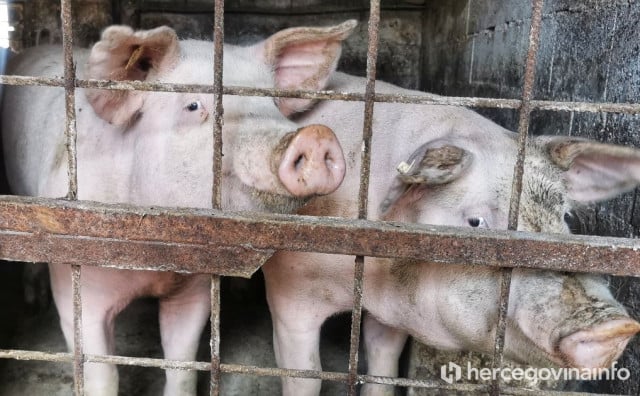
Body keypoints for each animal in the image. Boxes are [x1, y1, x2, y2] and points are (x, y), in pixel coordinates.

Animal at [1, 22, 356, 396]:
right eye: (193, 105)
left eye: (273, 103)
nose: (315, 135)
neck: (155, 265)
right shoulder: (77, 275)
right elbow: (100, 371)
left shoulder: (193, 288)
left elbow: (182, 363)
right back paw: (34, 302)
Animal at [260, 71, 640, 392]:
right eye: (475, 222)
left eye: (564, 217)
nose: (617, 327)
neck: (372, 278)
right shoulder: (289, 287)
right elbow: (305, 374)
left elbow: (384, 361)